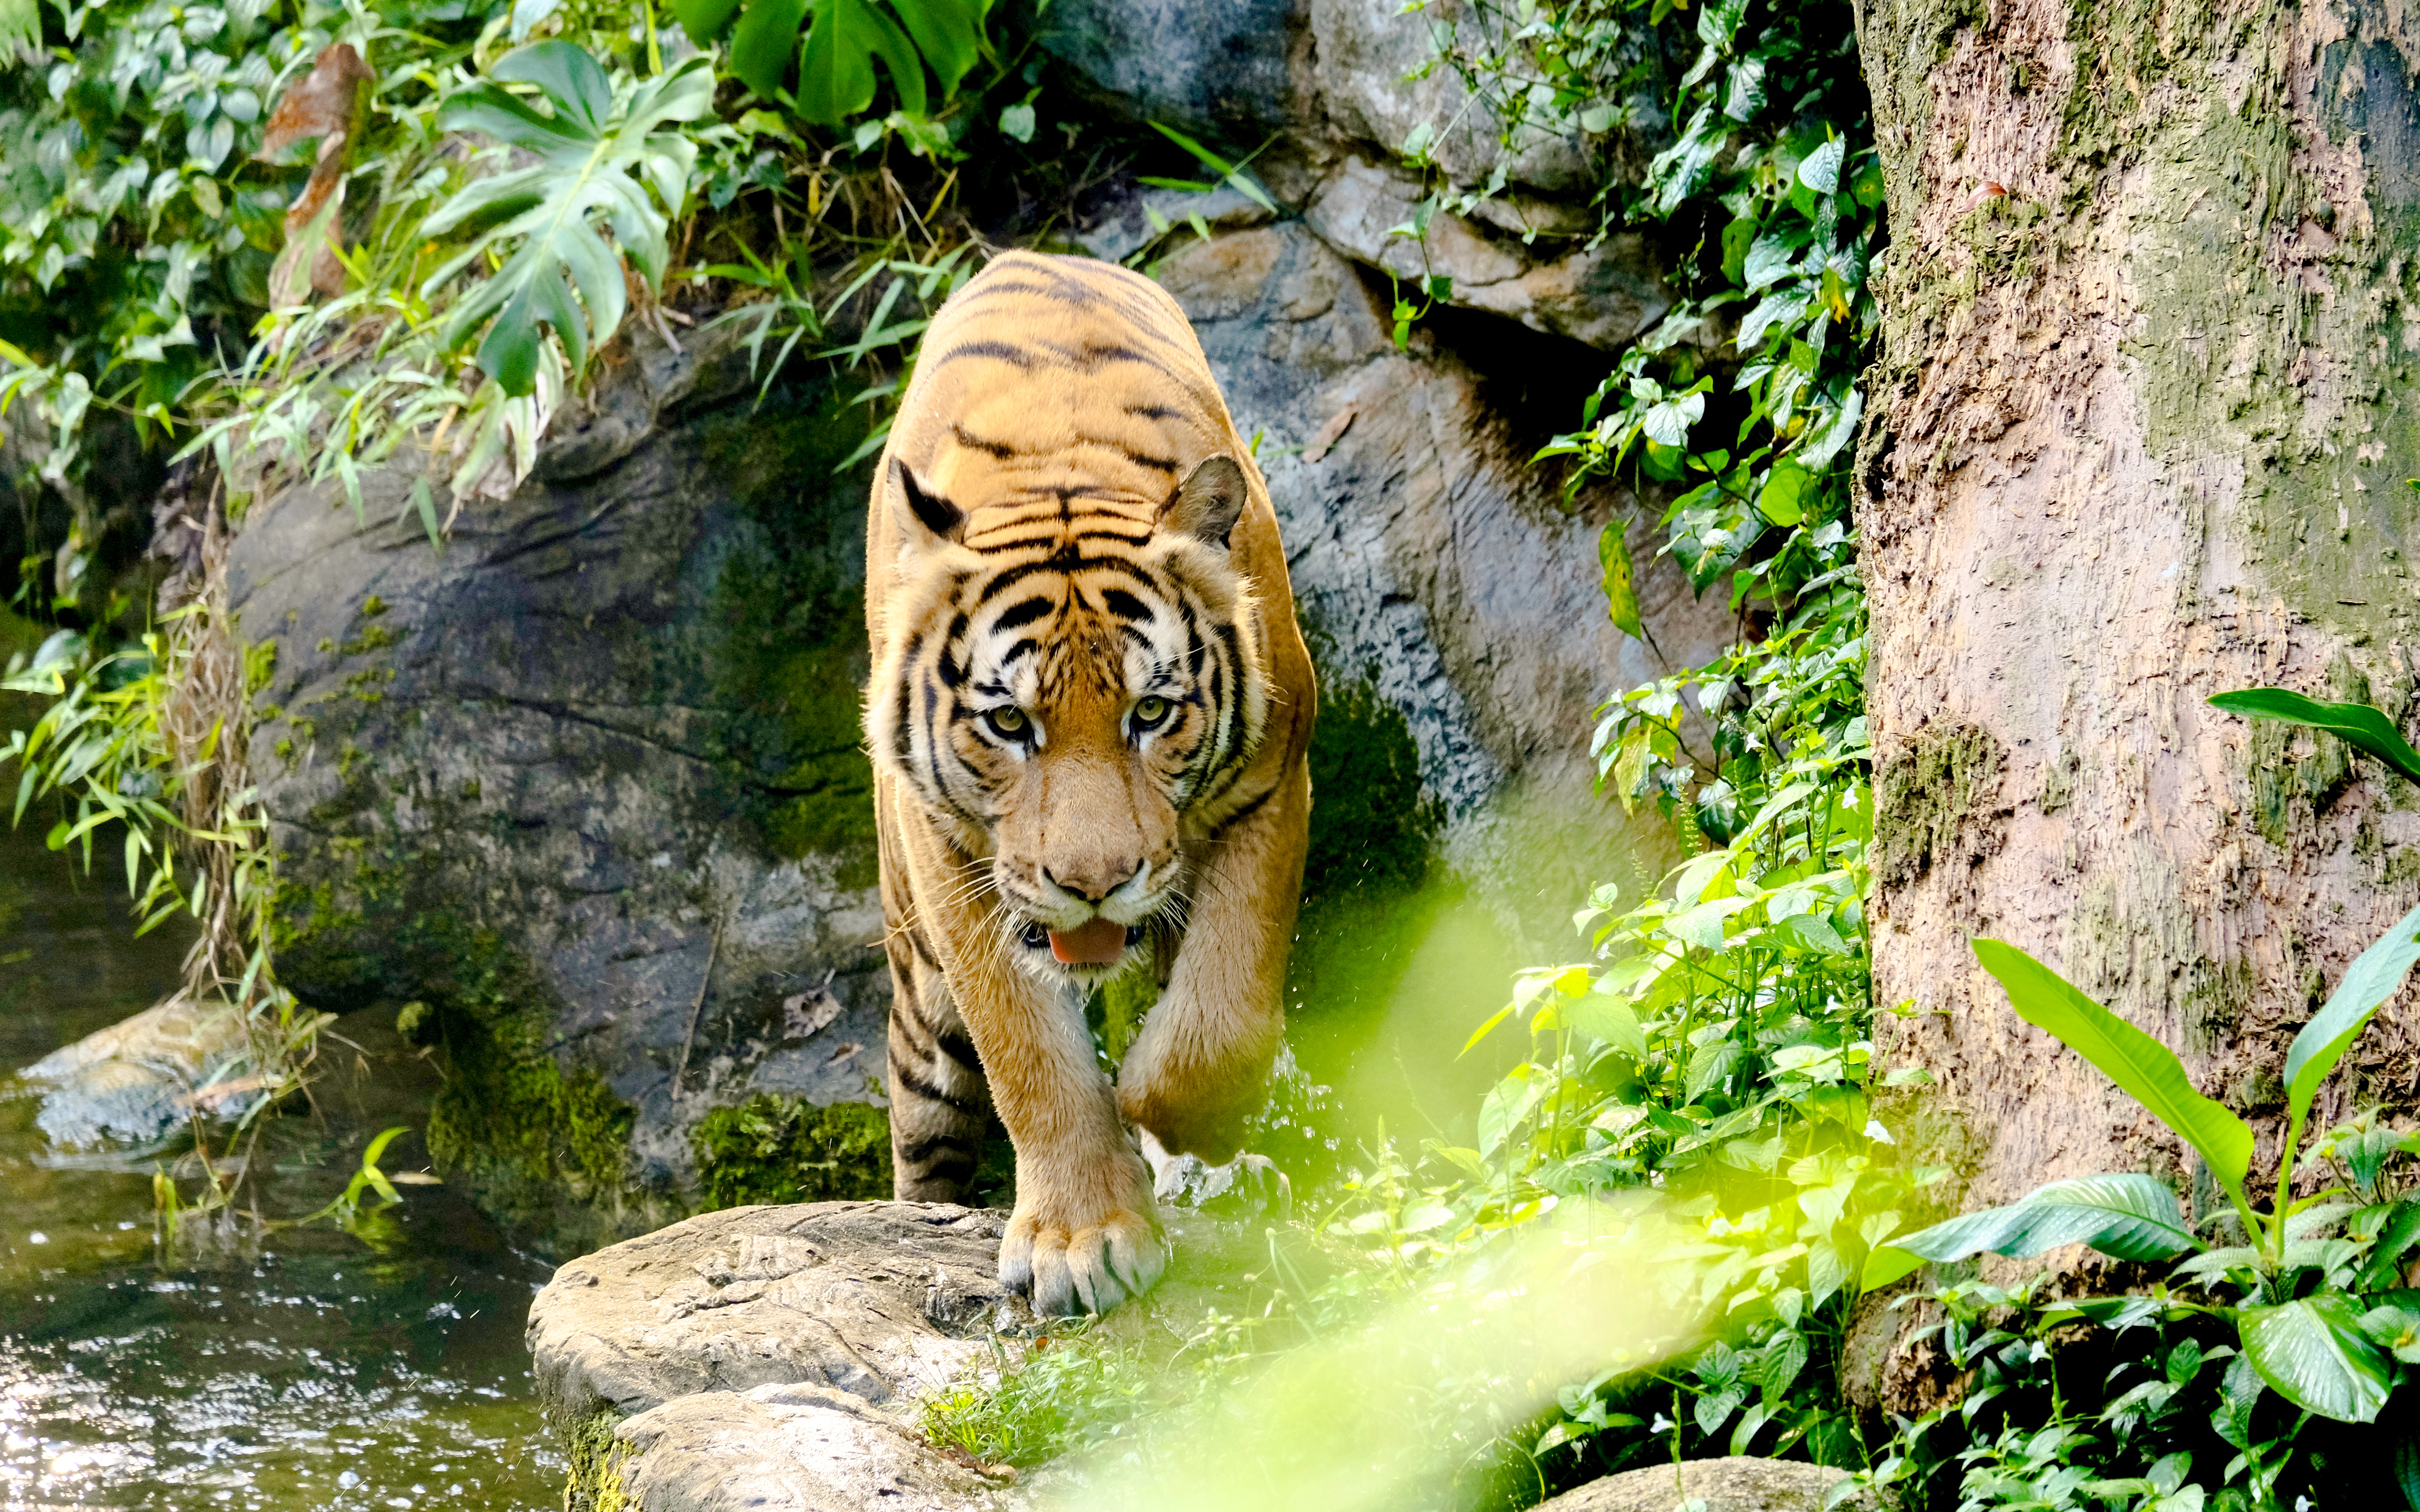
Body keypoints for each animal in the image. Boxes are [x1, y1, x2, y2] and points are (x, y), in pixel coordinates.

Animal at [862, 249, 1317, 1316]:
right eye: (1008, 724)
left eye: (1150, 714)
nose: (1094, 883)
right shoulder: (952, 859)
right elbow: (1029, 1057)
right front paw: (1081, 1239)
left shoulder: (1275, 779)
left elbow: (1220, 1018)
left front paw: (1177, 1122)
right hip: (919, 987)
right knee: (925, 1118)